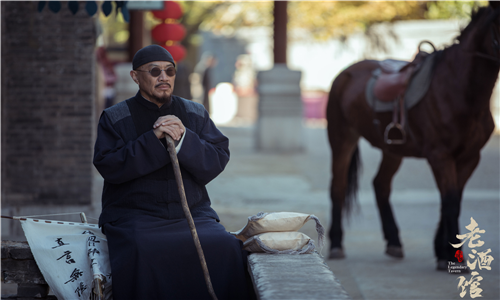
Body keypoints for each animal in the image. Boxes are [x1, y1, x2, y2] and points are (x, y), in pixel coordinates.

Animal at [326, 2, 498, 270]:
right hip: (341, 139)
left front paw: (443, 252)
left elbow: (452, 201)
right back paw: (335, 244)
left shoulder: (470, 157)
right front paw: (452, 257)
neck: (460, 90)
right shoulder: (440, 156)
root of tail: (344, 74)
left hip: (392, 150)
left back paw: (394, 242)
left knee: (380, 185)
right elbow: (450, 202)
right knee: (338, 187)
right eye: (497, 23)